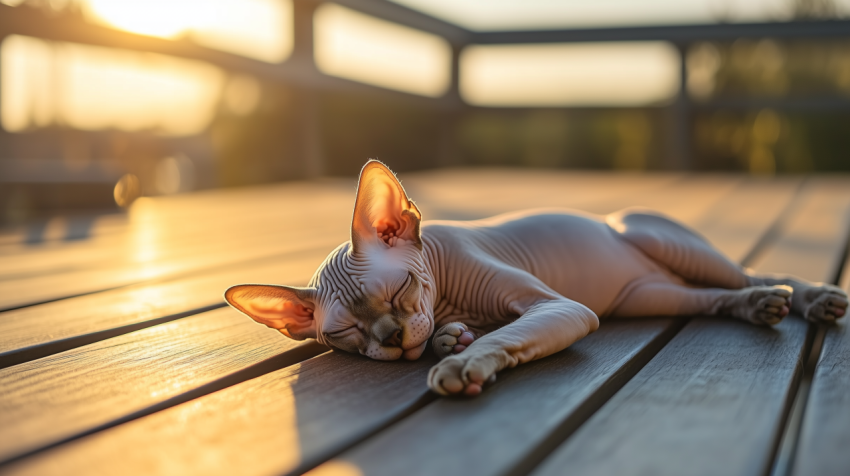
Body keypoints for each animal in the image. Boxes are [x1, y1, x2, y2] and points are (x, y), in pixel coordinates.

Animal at [225, 162, 848, 396]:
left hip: (659, 238)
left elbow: (506, 333)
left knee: (753, 270)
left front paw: (462, 361)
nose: (393, 339)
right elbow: (467, 329)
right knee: (712, 298)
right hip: (649, 294)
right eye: (345, 335)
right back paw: (757, 305)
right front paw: (451, 339)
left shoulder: (561, 306)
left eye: (399, 290)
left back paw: (810, 297)